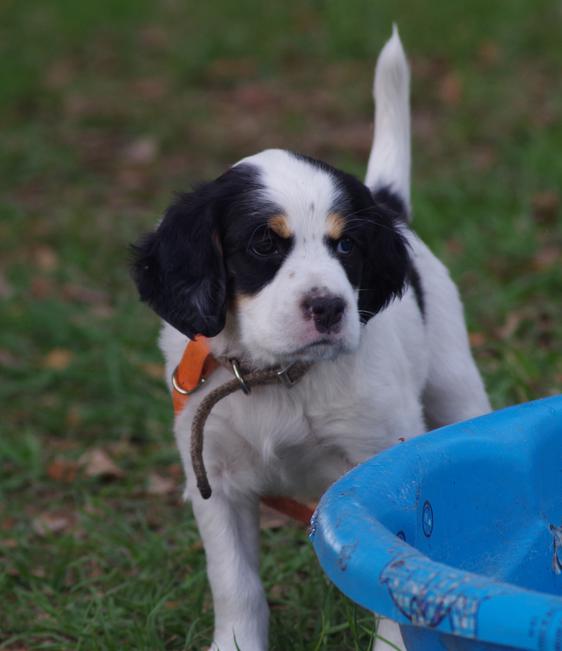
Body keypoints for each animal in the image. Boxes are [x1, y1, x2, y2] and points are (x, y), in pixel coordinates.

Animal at [133, 26, 488, 651]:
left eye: (346, 245)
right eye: (263, 244)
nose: (329, 308)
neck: (277, 375)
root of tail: (389, 203)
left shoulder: (378, 455)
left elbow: (388, 572)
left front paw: (393, 644)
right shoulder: (215, 479)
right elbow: (235, 583)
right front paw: (235, 645)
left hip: (453, 378)